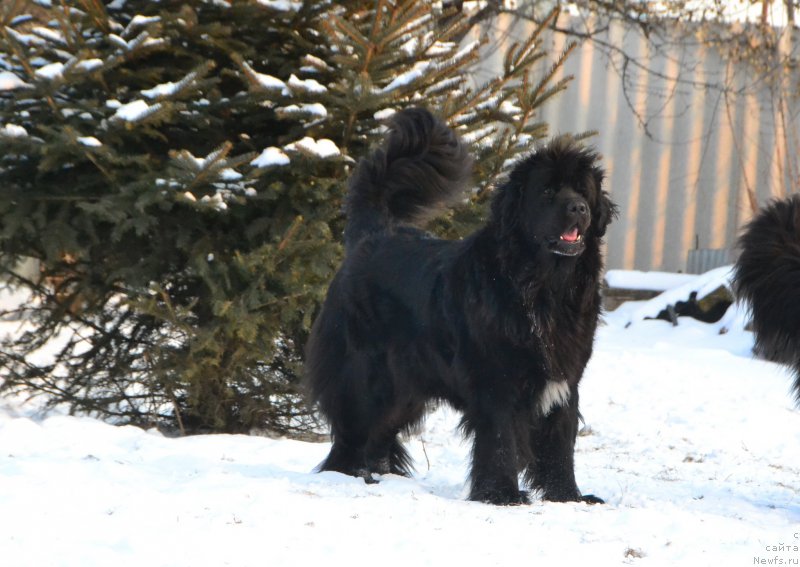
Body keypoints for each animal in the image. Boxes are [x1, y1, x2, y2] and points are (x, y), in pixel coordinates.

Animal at [306, 110, 620, 506]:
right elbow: (500, 441)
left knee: (380, 431)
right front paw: (503, 495)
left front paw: (569, 497)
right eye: (548, 191)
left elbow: (560, 444)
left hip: (405, 387)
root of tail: (371, 235)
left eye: (582, 191)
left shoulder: (564, 381)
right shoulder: (496, 380)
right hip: (364, 373)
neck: (545, 286)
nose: (578, 208)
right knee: (352, 427)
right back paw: (346, 476)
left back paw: (380, 475)